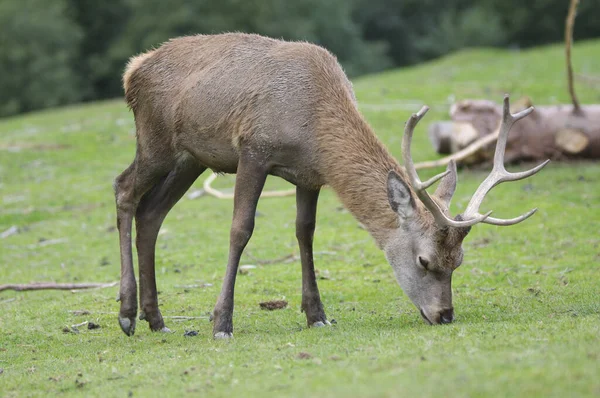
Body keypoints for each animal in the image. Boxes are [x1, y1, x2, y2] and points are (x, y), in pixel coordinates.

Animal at [113, 33, 548, 338]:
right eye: (425, 260)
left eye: (458, 262)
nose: (444, 315)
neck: (314, 125)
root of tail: (131, 70)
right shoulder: (253, 150)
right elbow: (241, 230)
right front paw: (221, 323)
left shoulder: (309, 175)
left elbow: (305, 233)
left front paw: (317, 315)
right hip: (155, 141)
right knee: (123, 189)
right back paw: (127, 315)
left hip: (191, 159)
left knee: (151, 213)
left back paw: (156, 319)